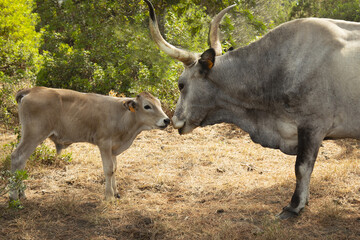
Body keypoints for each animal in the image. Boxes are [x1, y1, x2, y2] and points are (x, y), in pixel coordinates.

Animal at [9, 87, 170, 202]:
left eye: (159, 104)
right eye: (147, 106)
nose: (167, 120)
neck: (122, 116)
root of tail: (33, 89)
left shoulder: (113, 149)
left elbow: (115, 168)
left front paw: (116, 192)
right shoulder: (104, 143)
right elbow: (108, 169)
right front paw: (109, 196)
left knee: (22, 162)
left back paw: (21, 193)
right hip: (33, 135)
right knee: (17, 158)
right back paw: (14, 196)